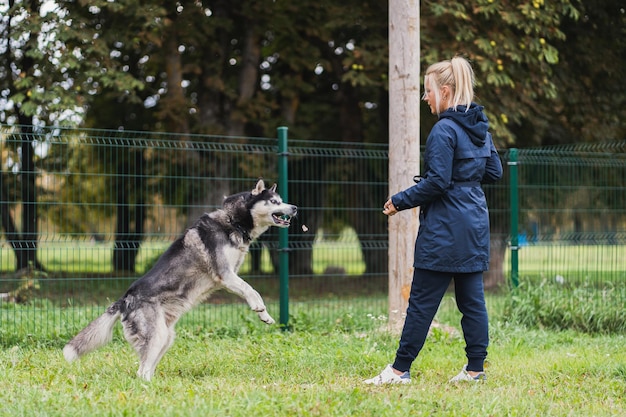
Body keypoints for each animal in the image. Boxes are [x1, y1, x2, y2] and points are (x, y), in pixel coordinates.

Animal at [63, 179, 298, 380]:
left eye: (282, 200)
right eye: (275, 202)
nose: (295, 207)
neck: (233, 221)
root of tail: (124, 300)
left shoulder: (232, 275)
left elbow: (250, 289)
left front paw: (265, 316)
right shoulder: (226, 275)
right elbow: (251, 290)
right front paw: (259, 308)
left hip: (166, 337)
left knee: (145, 369)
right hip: (156, 336)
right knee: (141, 372)